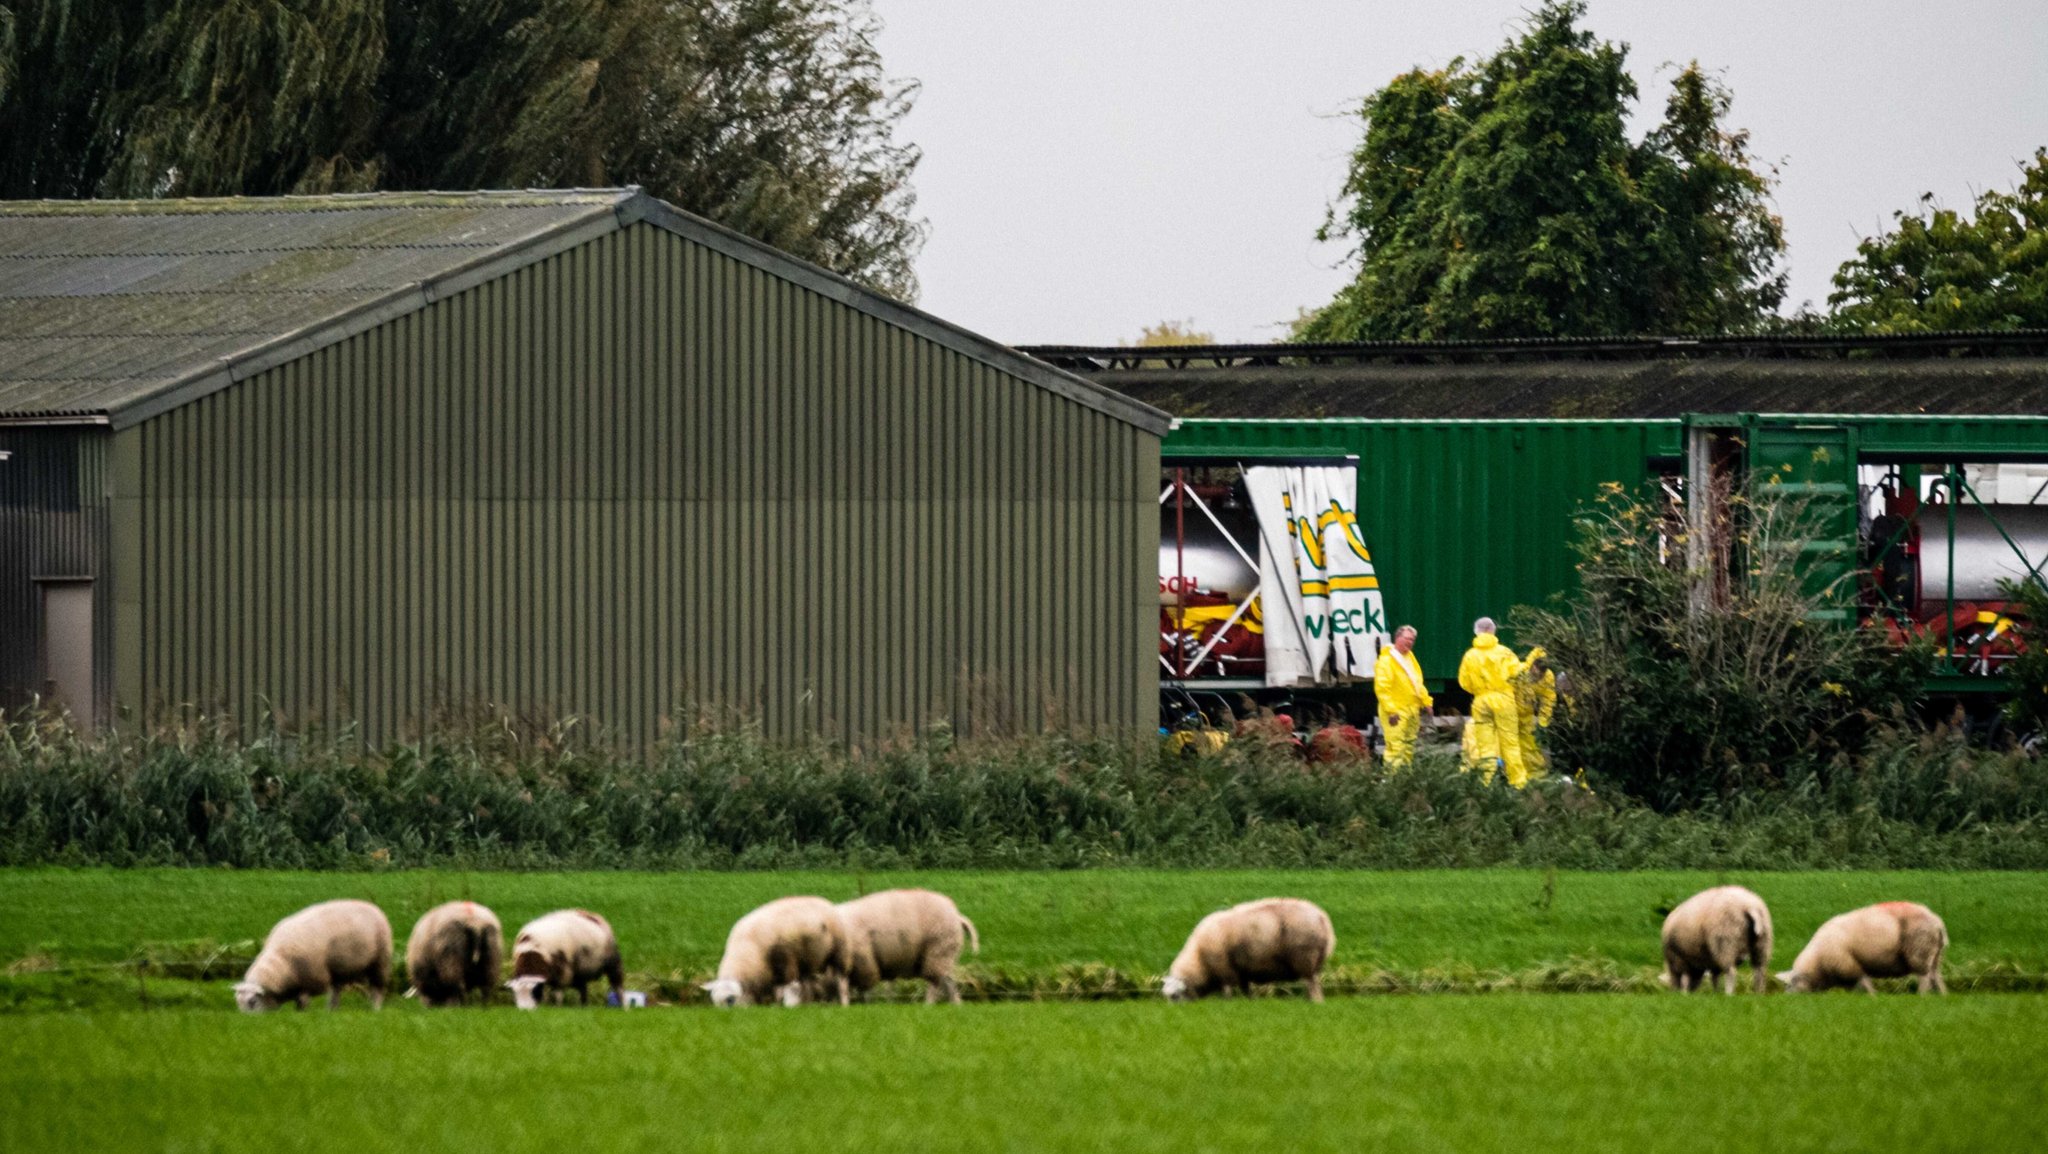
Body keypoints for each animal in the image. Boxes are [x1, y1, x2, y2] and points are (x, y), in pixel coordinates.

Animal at [234, 897, 393, 1016]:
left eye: (252, 1002)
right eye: (238, 1002)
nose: (246, 1020)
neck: (282, 961)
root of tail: (372, 906)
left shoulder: (310, 980)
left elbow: (303, 1002)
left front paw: (302, 1015)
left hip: (380, 961)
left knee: (377, 989)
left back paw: (375, 1009)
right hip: (338, 970)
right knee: (336, 992)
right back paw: (331, 1012)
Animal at [704, 897, 847, 1008]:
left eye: (730, 1000)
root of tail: (824, 901)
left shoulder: (787, 962)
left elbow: (786, 988)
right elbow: (776, 991)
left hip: (839, 952)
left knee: (841, 981)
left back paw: (844, 1004)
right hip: (806, 960)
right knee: (807, 984)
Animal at [839, 889, 983, 1008]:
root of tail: (958, 917)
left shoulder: (860, 962)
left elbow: (851, 987)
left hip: (938, 952)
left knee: (935, 981)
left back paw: (928, 1005)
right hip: (945, 954)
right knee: (948, 980)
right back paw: (957, 1004)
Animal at [1163, 893, 1335, 1004]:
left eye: (1174, 996)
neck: (1199, 959)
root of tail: (1322, 918)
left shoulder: (1225, 970)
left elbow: (1227, 990)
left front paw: (1228, 1003)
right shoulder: (1242, 972)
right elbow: (1246, 989)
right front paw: (1249, 1001)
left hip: (1305, 957)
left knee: (1311, 983)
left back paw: (1314, 1002)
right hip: (1315, 961)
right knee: (1313, 982)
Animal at [1777, 901, 1949, 992]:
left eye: (1790, 984)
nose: (1787, 998)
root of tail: (1938, 923)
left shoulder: (1849, 965)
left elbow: (1864, 984)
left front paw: (1873, 997)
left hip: (1920, 950)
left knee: (1925, 978)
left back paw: (1922, 995)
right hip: (1935, 954)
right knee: (1936, 976)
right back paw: (1943, 995)